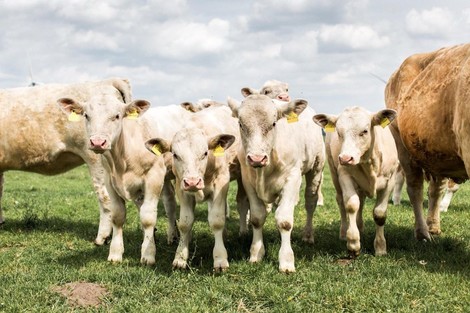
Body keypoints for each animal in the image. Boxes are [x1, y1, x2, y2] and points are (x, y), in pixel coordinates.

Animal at [227, 89, 324, 270]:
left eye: (273, 124)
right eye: (241, 124)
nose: (257, 158)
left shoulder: (293, 178)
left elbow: (285, 221)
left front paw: (286, 260)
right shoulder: (248, 181)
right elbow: (257, 217)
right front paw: (256, 253)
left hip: (316, 169)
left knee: (310, 202)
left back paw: (308, 235)